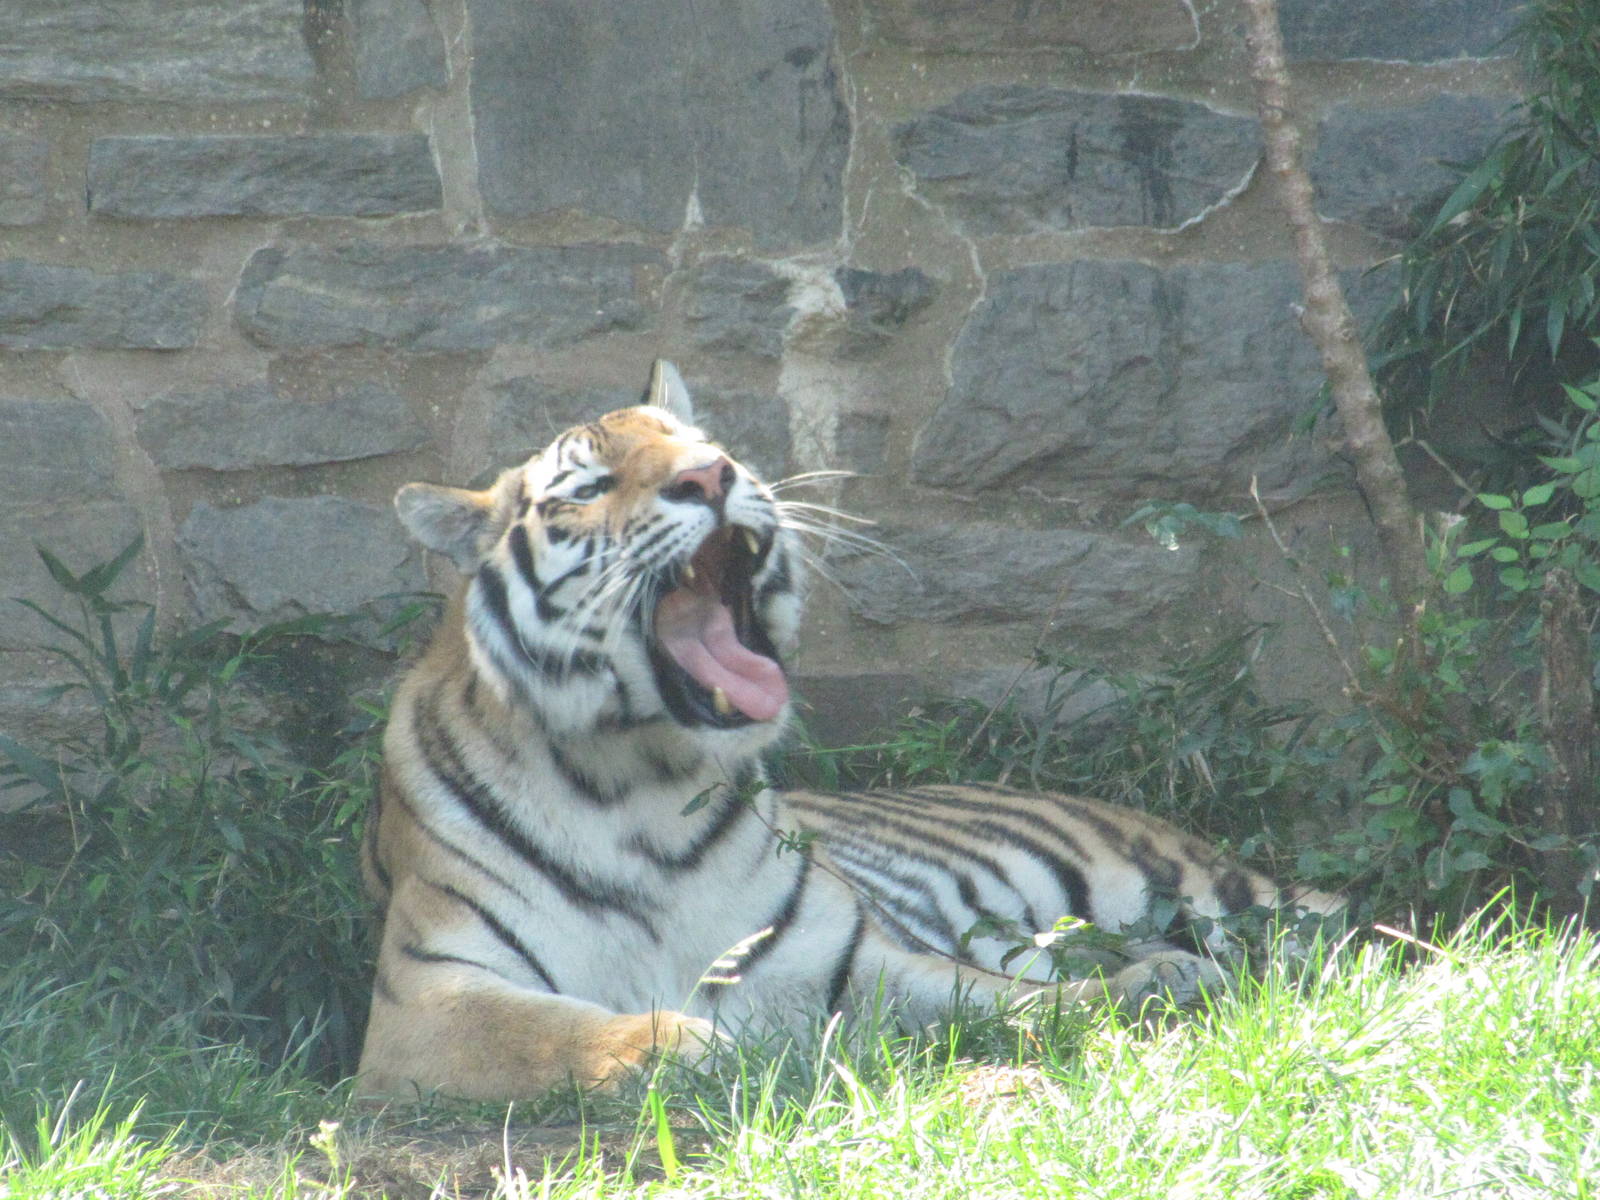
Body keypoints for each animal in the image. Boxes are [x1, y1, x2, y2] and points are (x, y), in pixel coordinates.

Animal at [355, 359, 1340, 1101]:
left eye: (709, 447)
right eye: (591, 487)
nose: (711, 476)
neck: (643, 789)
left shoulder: (851, 961)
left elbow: (1015, 1001)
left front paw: (1139, 994)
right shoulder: (425, 1004)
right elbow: (558, 1034)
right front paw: (691, 1048)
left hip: (1193, 890)